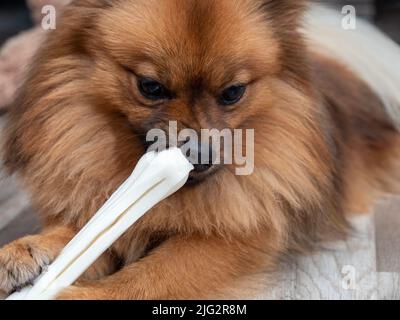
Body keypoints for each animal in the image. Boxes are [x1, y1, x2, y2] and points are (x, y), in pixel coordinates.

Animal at [0, 0, 400, 300]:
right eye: (150, 87)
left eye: (233, 92)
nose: (201, 153)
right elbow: (78, 233)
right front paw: (24, 250)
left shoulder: (233, 237)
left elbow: (146, 279)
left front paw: (72, 295)